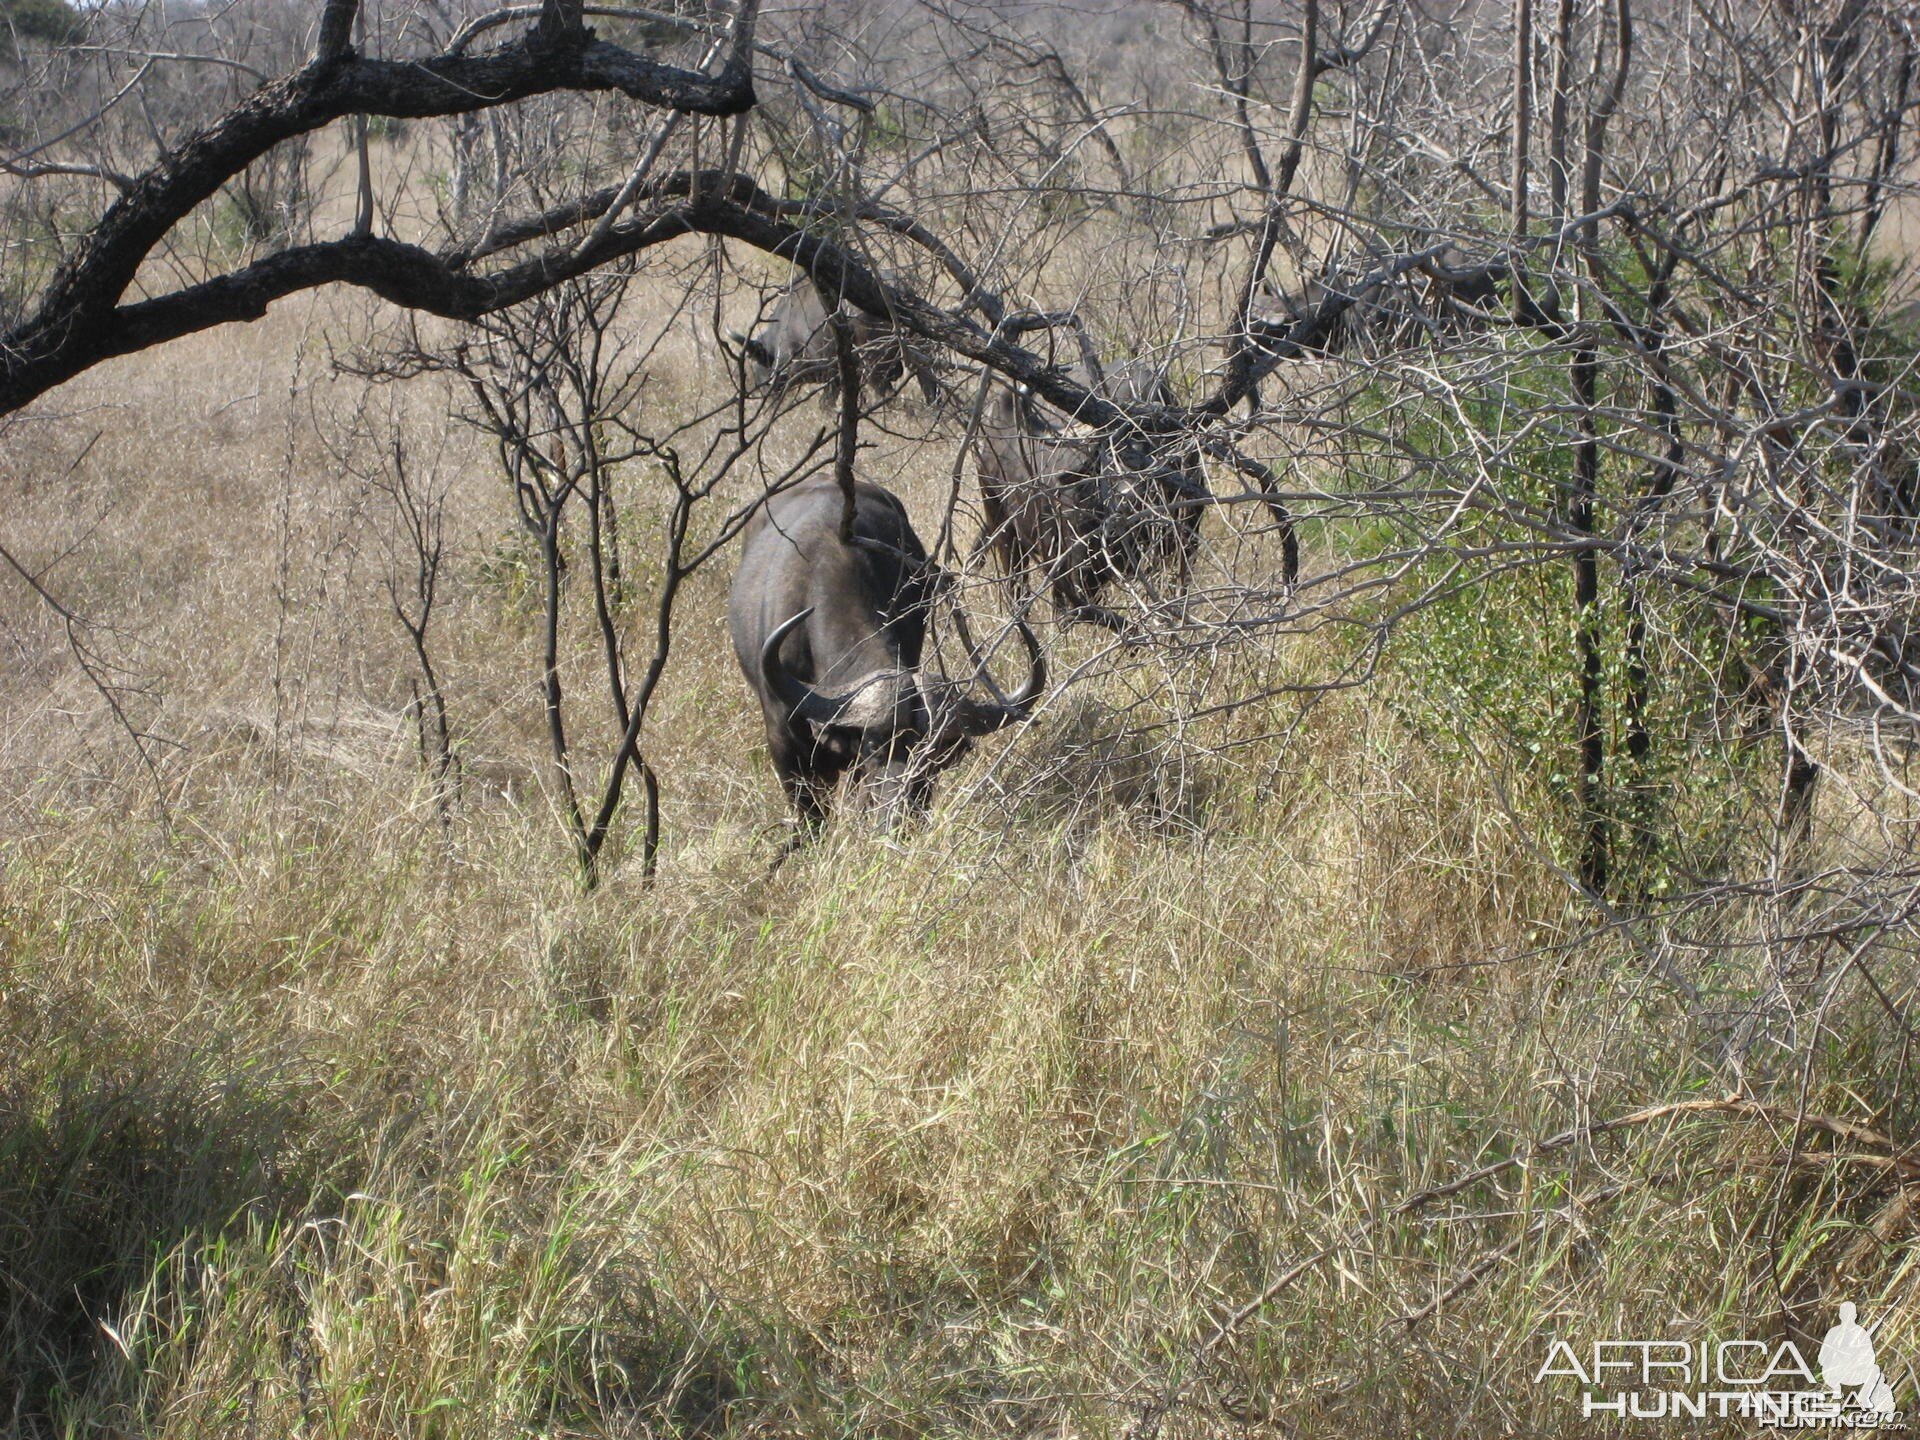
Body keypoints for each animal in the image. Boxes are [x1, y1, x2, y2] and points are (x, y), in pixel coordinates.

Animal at [975, 357, 1198, 625]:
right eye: (1106, 456)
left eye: (1153, 449)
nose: (1128, 495)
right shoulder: (1082, 567)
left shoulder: (1184, 551)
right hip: (1000, 520)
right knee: (1017, 584)